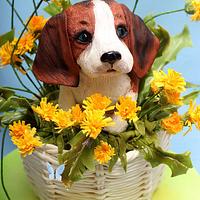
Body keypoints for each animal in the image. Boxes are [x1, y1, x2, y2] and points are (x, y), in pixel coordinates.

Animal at [33, 0, 160, 133]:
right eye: (83, 36)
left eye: (121, 30)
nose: (111, 55)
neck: (102, 80)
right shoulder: (66, 92)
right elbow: (67, 107)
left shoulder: (133, 84)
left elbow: (118, 120)